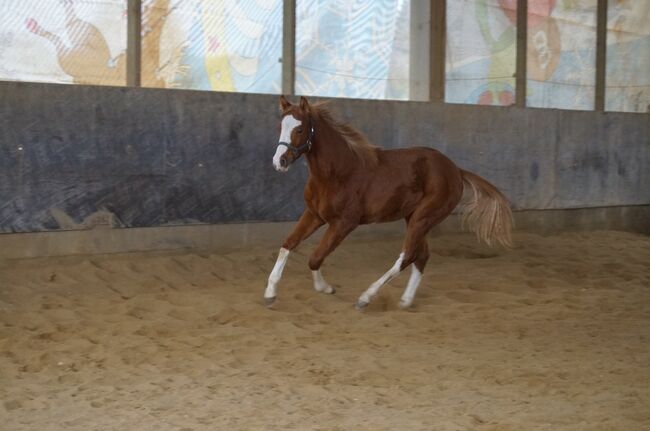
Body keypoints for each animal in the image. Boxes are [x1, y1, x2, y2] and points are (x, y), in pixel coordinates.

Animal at [264, 96, 512, 310]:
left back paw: (366, 297)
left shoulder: (345, 222)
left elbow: (315, 258)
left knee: (407, 256)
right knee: (421, 256)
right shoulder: (314, 214)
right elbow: (288, 244)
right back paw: (405, 301)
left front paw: (325, 288)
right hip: (415, 218)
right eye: (279, 127)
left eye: (299, 129)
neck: (337, 173)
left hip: (424, 217)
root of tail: (456, 171)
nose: (279, 161)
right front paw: (270, 293)